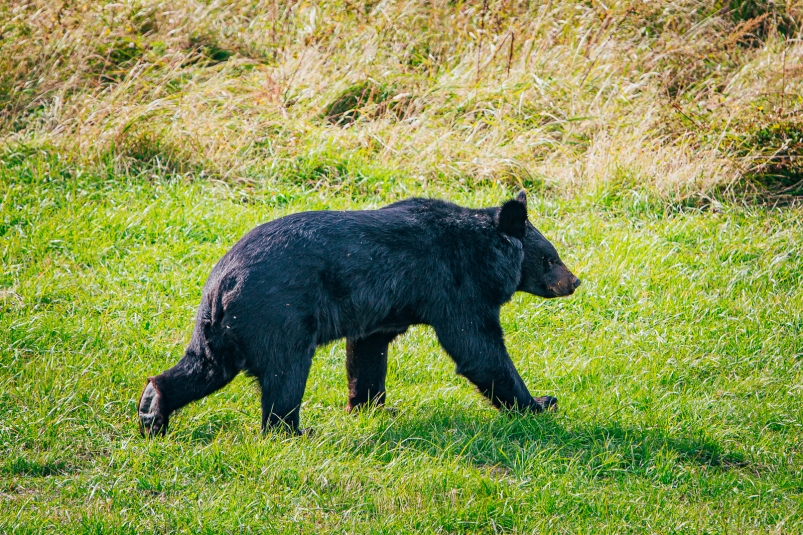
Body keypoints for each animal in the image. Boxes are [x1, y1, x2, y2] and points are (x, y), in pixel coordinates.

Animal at [138, 191, 581, 436]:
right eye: (550, 258)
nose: (574, 281)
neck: (481, 252)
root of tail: (222, 281)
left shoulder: (384, 304)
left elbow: (369, 349)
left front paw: (371, 405)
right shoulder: (452, 285)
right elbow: (478, 346)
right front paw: (539, 402)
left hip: (223, 328)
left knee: (205, 366)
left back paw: (151, 408)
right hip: (280, 317)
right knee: (285, 377)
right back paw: (294, 432)